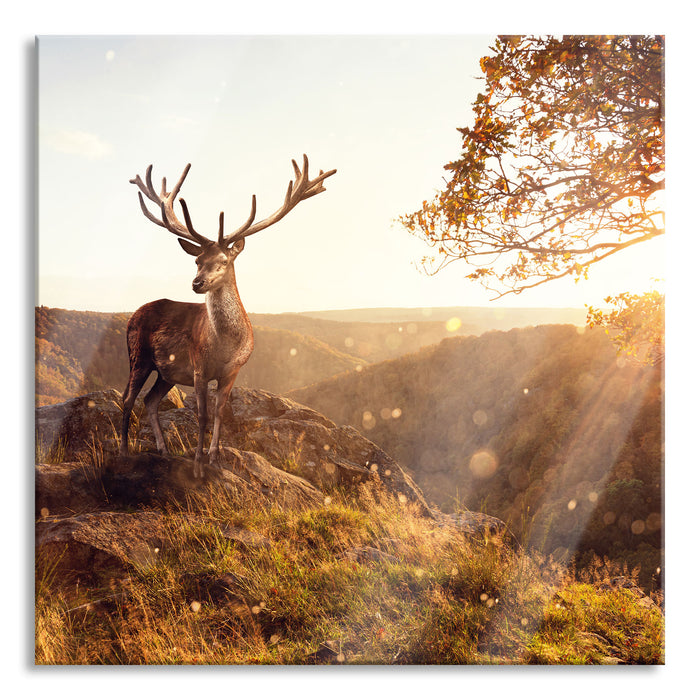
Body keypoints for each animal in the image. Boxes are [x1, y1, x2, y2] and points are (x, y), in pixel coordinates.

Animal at [120, 155, 337, 477]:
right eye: (197, 260)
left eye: (223, 260)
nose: (197, 283)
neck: (225, 345)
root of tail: (133, 315)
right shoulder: (198, 367)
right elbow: (202, 415)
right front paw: (198, 466)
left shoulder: (233, 371)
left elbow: (220, 413)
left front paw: (216, 459)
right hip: (139, 354)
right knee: (128, 398)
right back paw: (122, 452)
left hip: (167, 371)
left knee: (150, 399)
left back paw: (163, 450)